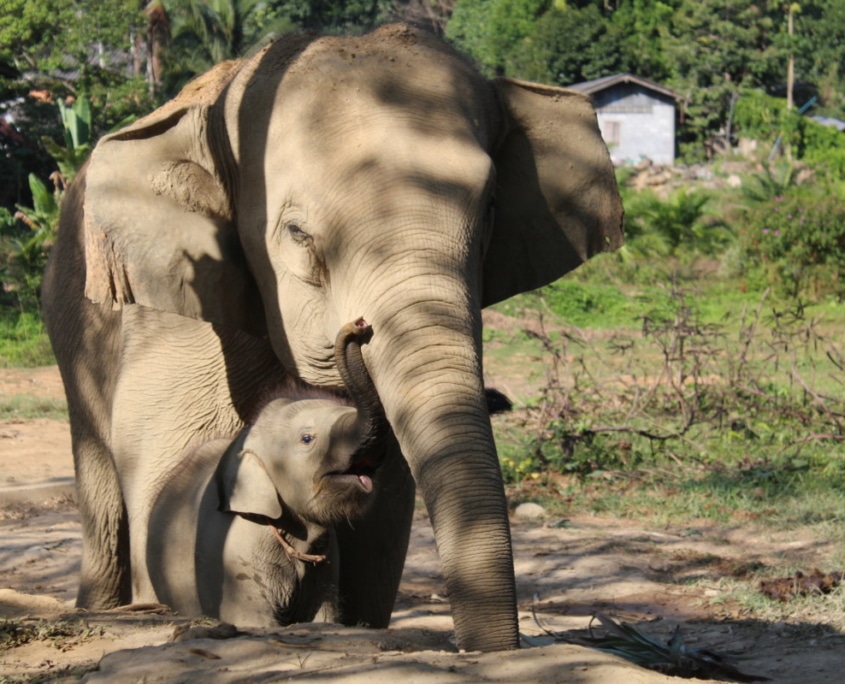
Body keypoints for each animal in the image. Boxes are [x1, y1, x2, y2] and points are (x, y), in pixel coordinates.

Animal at [147, 320, 385, 626]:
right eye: (307, 439)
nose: (359, 325)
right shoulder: (233, 552)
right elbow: (253, 621)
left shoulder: (327, 562)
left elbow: (324, 617)